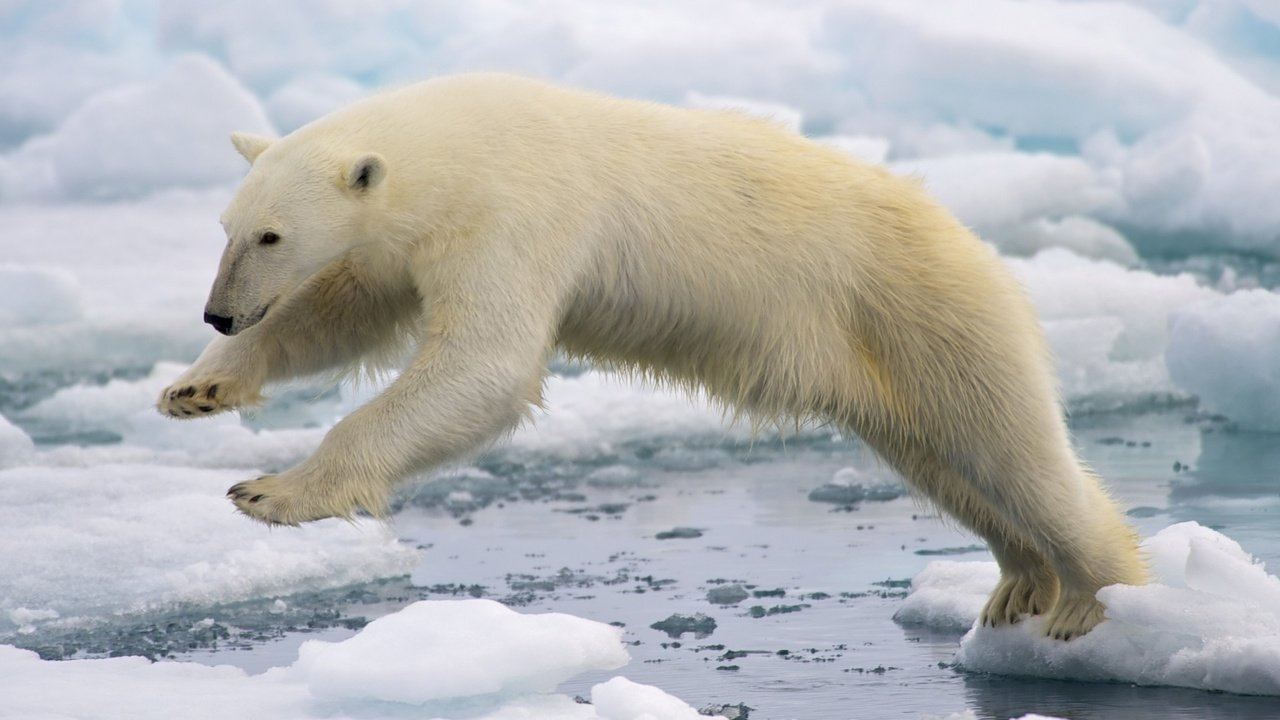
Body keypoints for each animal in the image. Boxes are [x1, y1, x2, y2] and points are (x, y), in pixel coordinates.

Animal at [154, 71, 1146, 632]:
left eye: (272, 235)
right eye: (228, 227)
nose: (218, 314)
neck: (456, 146)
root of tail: (972, 242)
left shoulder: (517, 212)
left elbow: (484, 364)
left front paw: (271, 491)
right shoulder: (410, 240)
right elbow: (345, 312)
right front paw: (196, 390)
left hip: (925, 311)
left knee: (1012, 450)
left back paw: (1090, 601)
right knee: (947, 463)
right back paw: (1019, 583)